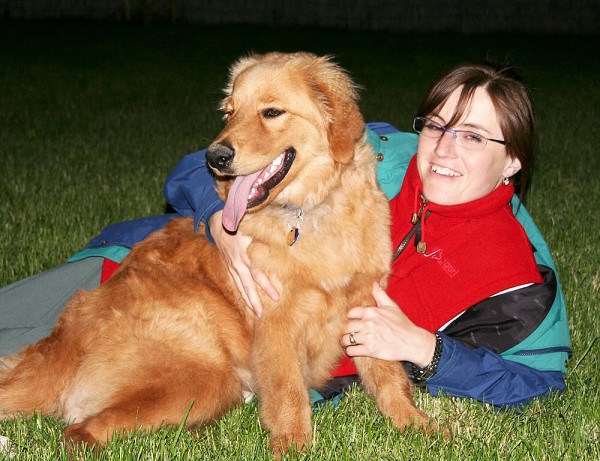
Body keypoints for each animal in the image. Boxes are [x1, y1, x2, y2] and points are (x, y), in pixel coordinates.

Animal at [0, 52, 438, 456]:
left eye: (272, 112)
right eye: (229, 113)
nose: (214, 157)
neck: (310, 210)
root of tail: (67, 336)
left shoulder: (365, 305)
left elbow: (388, 377)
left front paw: (416, 425)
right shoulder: (276, 324)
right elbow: (288, 392)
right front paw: (292, 445)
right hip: (203, 377)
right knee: (78, 432)